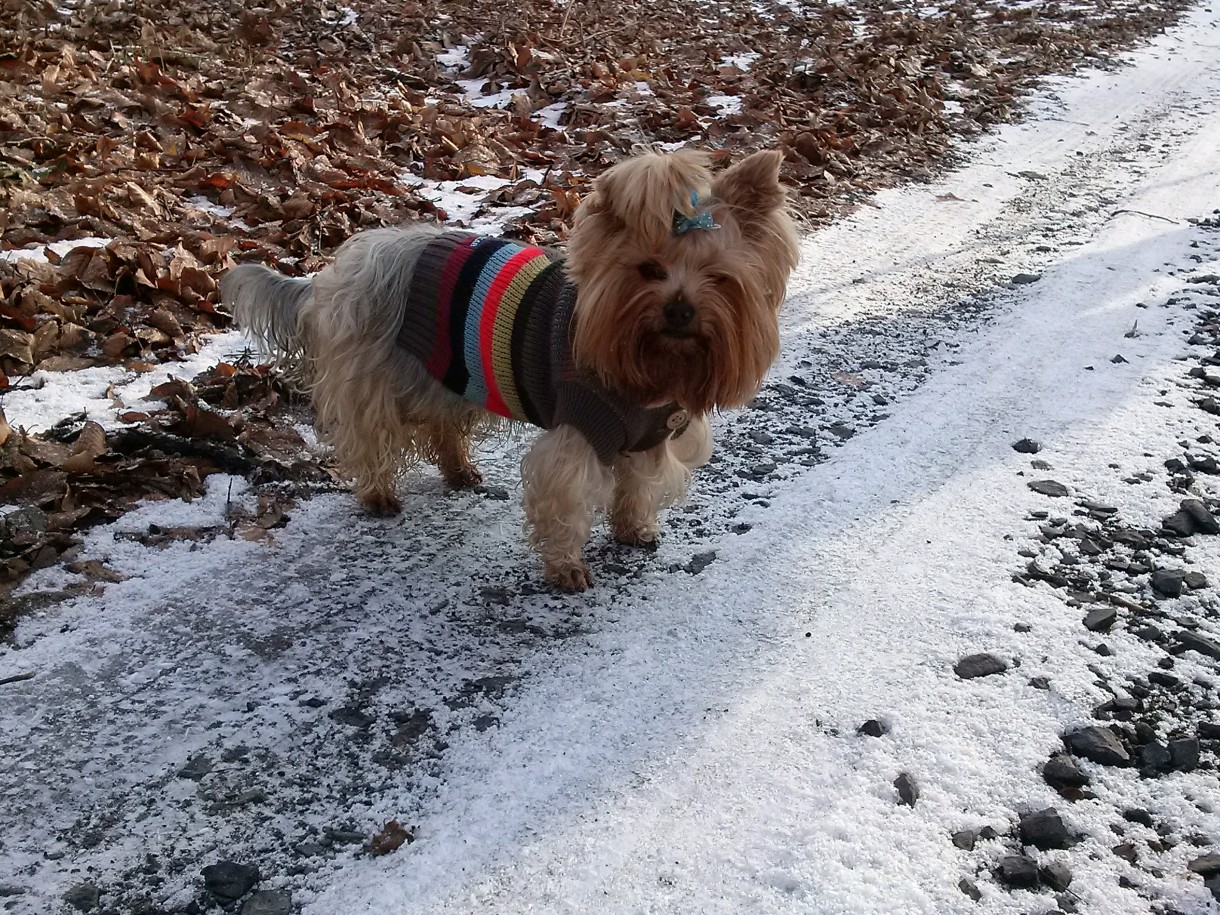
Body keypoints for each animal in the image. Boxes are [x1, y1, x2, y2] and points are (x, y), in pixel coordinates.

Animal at [224, 148, 800, 595]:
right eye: (648, 270)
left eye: (718, 278)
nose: (680, 310)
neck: (648, 363)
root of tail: (340, 270)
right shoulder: (579, 430)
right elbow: (565, 501)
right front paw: (567, 568)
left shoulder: (645, 437)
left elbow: (637, 486)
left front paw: (635, 528)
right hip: (379, 376)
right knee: (370, 436)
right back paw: (379, 494)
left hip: (447, 371)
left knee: (441, 425)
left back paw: (458, 469)